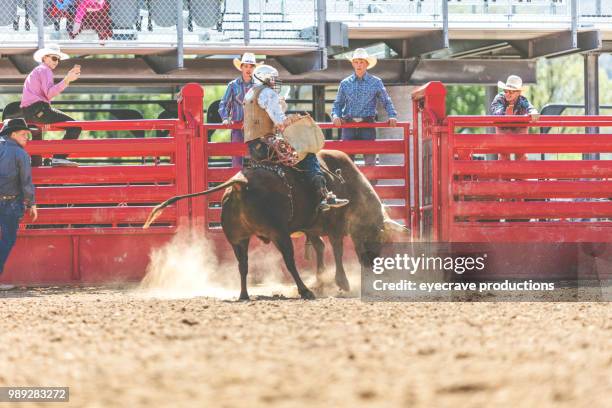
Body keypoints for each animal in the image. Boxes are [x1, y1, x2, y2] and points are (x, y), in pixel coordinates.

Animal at [144, 150, 408, 300]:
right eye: (380, 236)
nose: (372, 263)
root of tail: (239, 184)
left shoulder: (312, 228)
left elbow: (320, 248)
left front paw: (322, 280)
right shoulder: (333, 225)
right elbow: (336, 248)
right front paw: (340, 282)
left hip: (238, 239)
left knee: (243, 265)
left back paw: (244, 294)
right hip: (279, 234)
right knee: (289, 262)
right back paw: (305, 291)